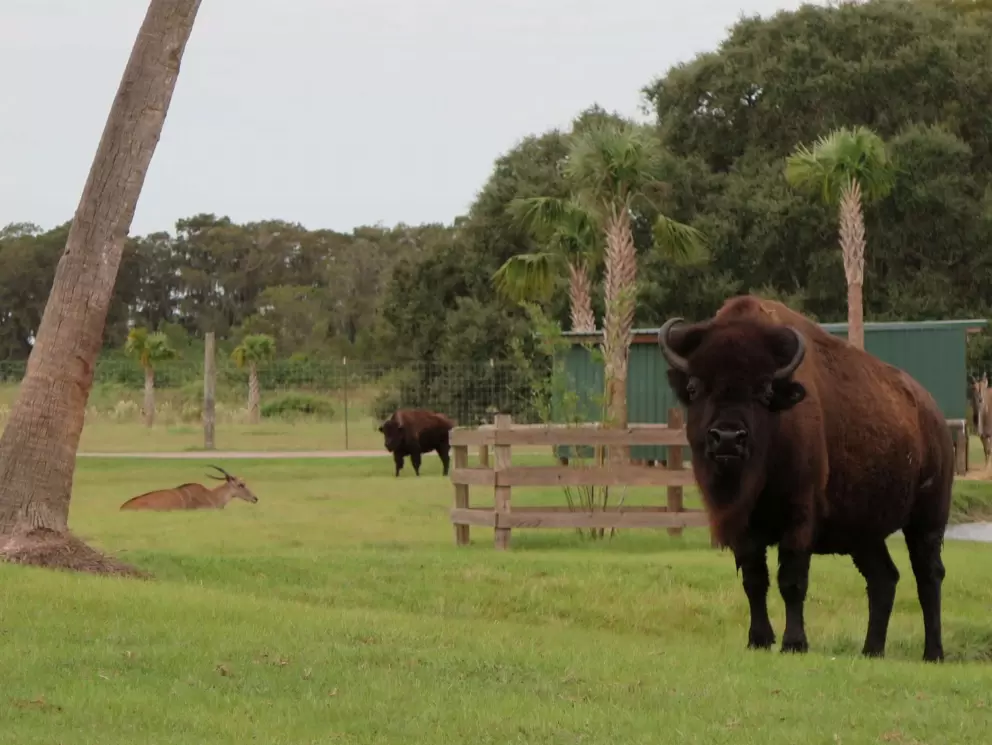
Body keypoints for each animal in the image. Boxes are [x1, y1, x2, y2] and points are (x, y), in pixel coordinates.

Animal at [658, 295, 953, 662]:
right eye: (695, 387)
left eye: (764, 390)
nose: (727, 438)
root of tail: (933, 415)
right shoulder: (744, 528)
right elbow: (754, 579)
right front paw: (758, 639)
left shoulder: (799, 518)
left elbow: (792, 580)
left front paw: (794, 643)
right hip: (864, 535)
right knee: (884, 578)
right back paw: (871, 650)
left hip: (928, 520)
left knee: (928, 575)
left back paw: (933, 653)